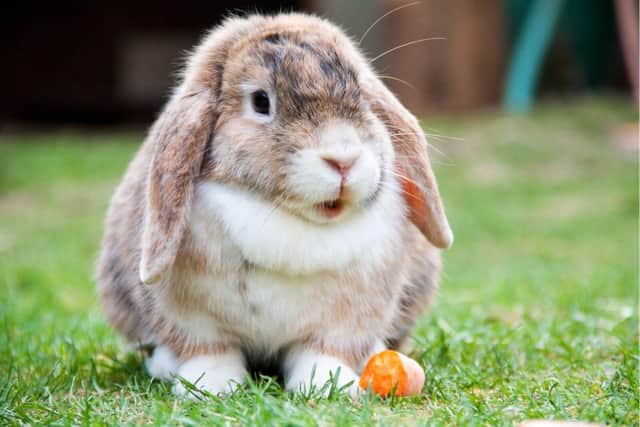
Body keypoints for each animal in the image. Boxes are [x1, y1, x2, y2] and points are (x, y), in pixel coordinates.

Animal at [96, 12, 453, 398]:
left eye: (360, 93)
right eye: (261, 101)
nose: (343, 159)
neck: (288, 218)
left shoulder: (344, 321)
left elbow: (322, 352)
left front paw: (328, 386)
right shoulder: (193, 320)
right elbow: (210, 351)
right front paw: (209, 387)